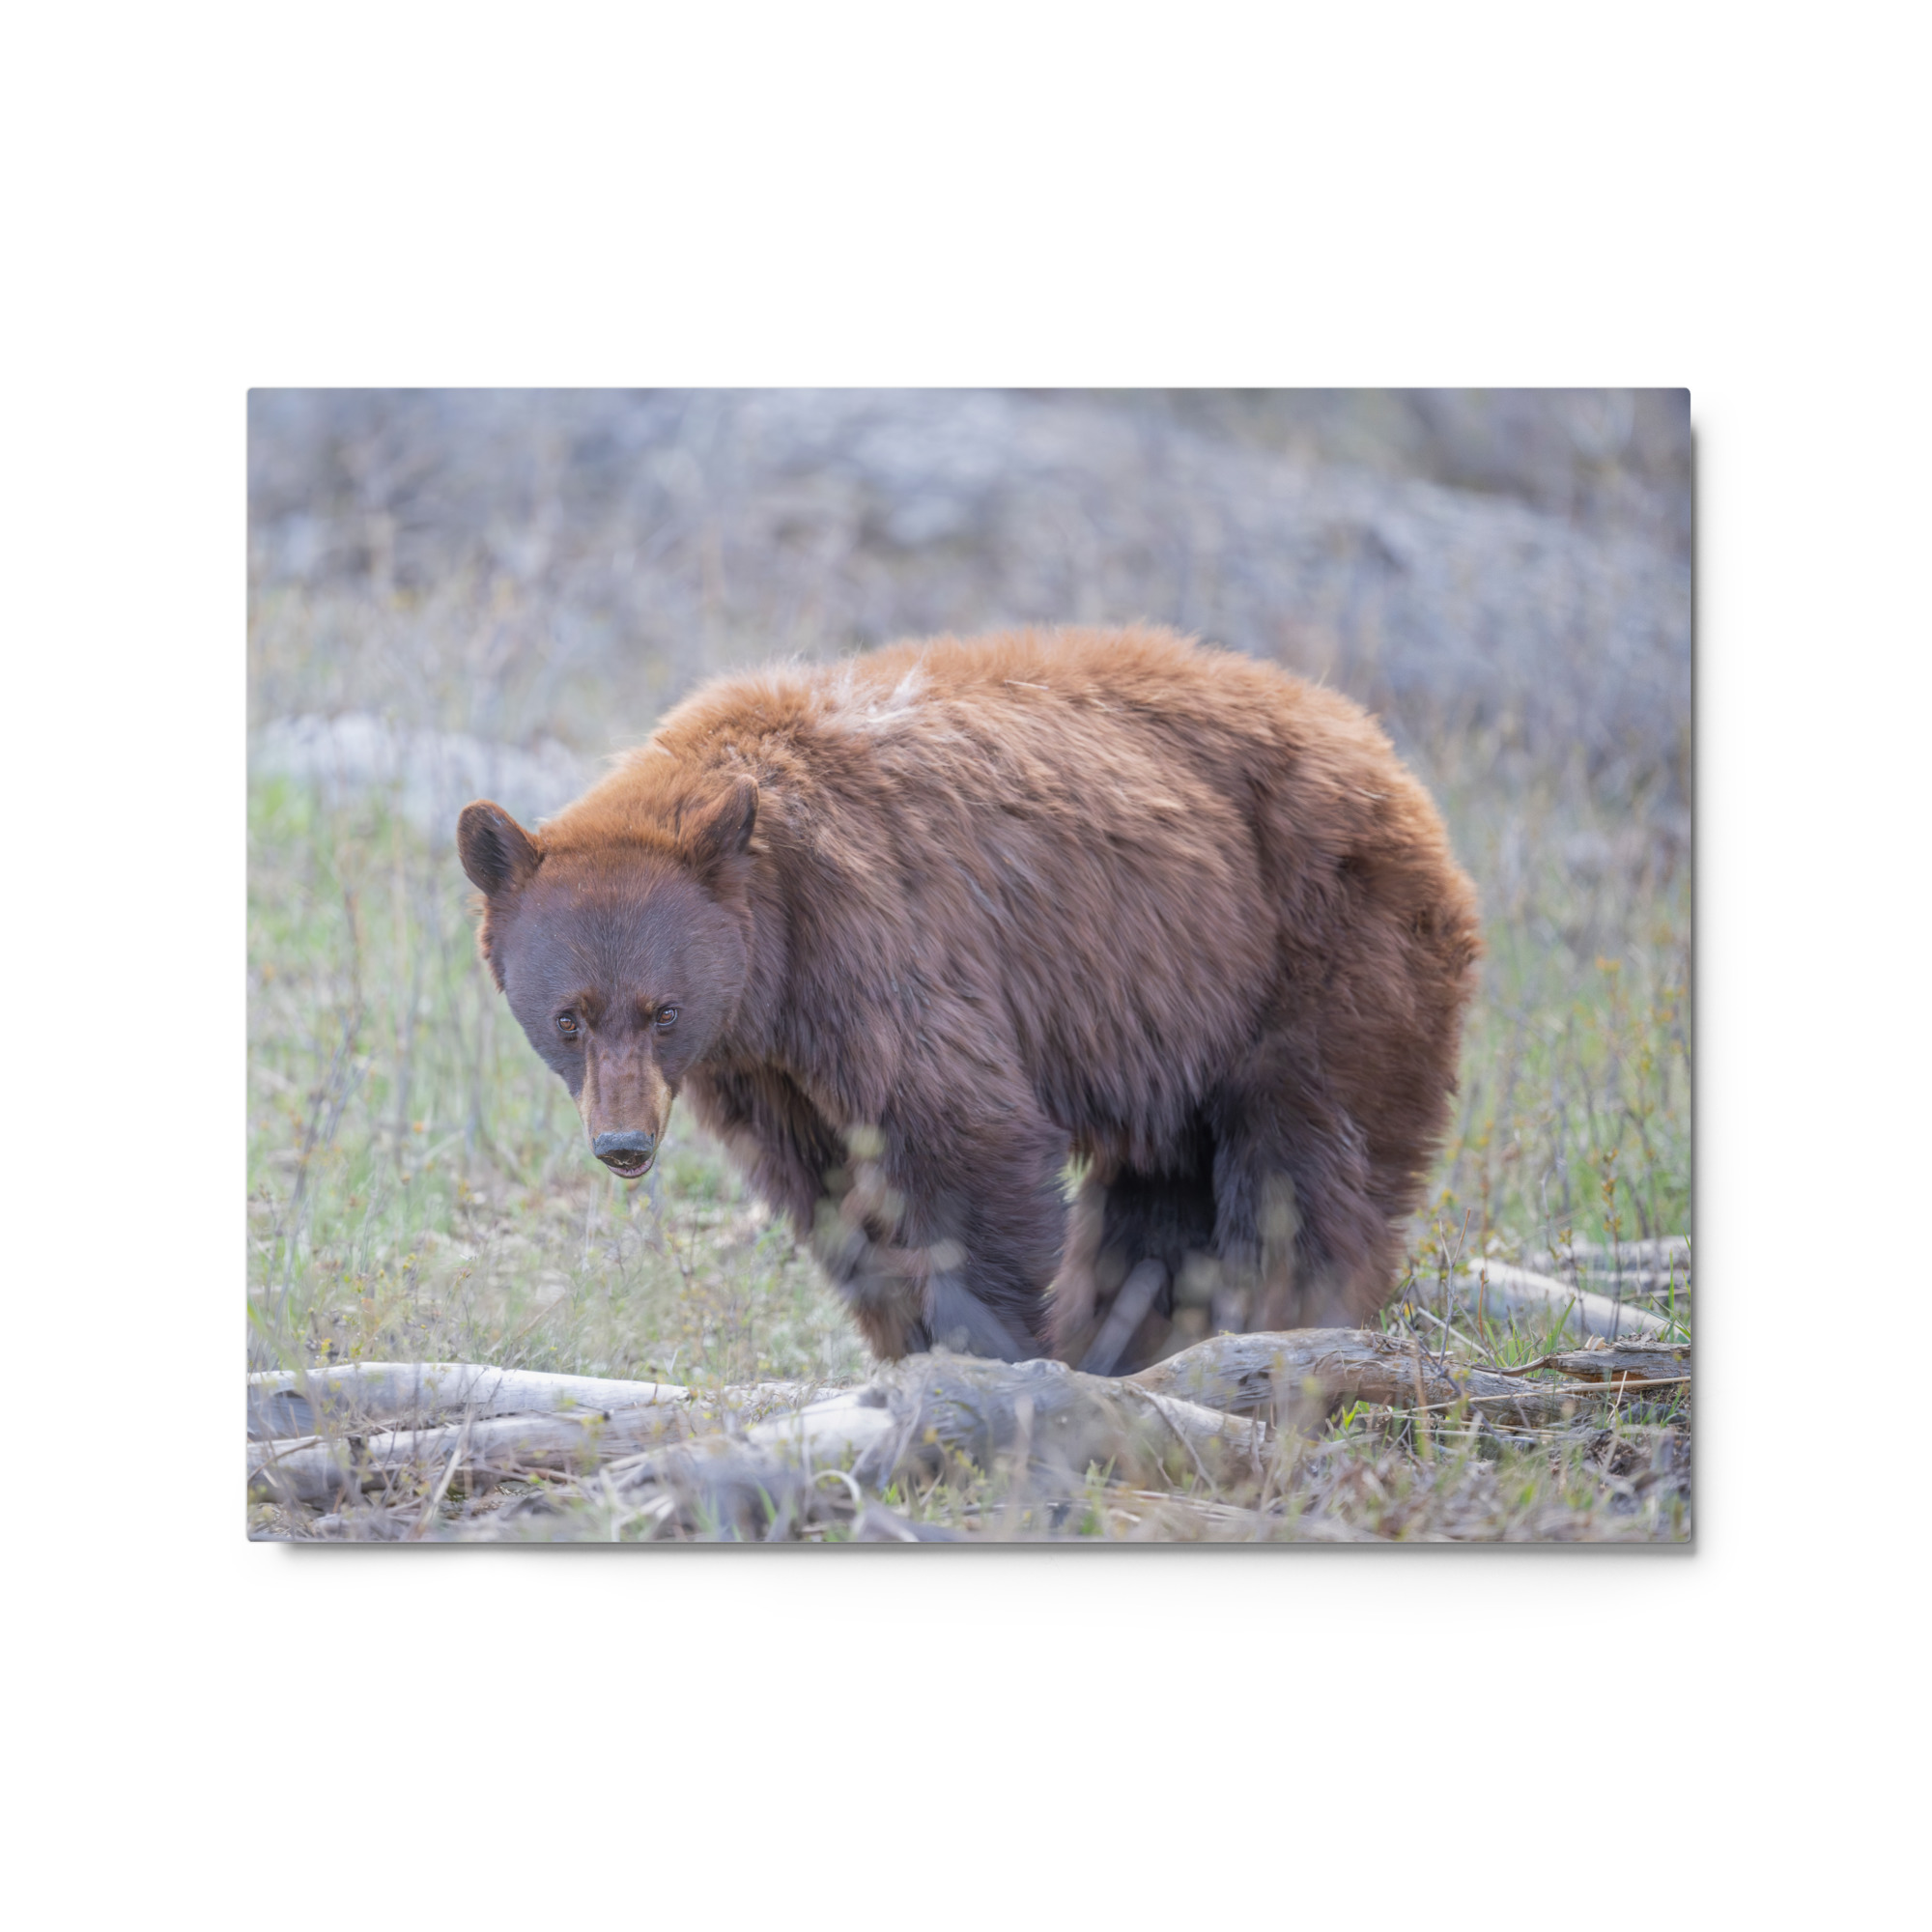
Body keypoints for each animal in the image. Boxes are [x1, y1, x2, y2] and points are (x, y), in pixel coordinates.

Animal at [457, 625, 1481, 1373]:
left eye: (663, 1011)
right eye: (569, 1018)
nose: (624, 1144)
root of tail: (1384, 754)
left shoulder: (880, 946)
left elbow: (963, 1140)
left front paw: (992, 1350)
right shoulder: (765, 1066)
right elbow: (831, 1191)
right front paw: (909, 1343)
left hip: (1320, 951)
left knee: (1305, 1164)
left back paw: (1280, 1323)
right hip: (1182, 1017)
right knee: (1161, 1195)